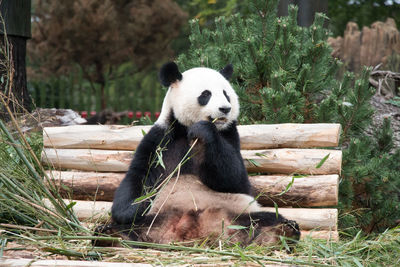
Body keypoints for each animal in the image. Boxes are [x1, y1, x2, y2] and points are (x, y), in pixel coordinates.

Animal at [104, 62, 298, 247]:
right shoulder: (160, 139)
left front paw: (204, 131)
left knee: (267, 220)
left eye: (226, 94)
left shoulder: (229, 135)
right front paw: (132, 209)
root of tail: (198, 230)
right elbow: (139, 176)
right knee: (130, 228)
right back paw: (111, 235)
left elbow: (236, 180)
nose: (225, 109)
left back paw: (282, 232)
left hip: (240, 215)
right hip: (157, 219)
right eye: (206, 94)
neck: (187, 130)